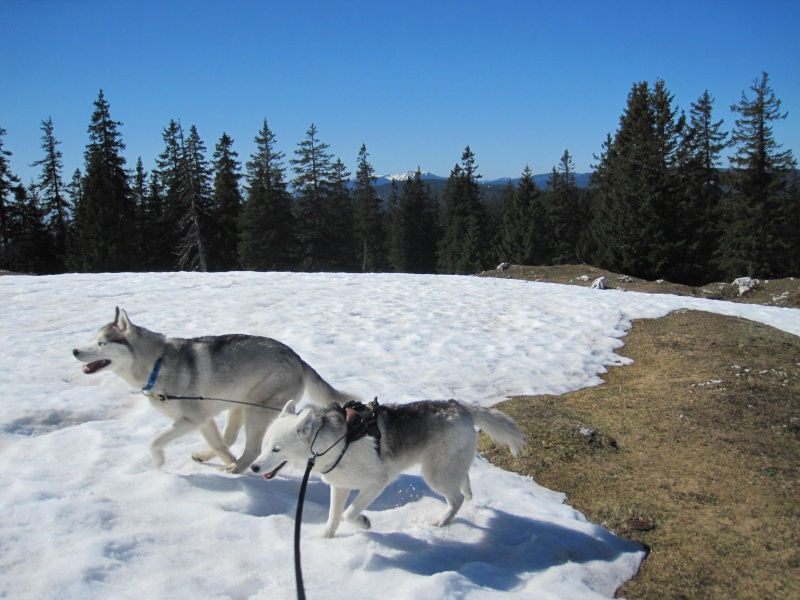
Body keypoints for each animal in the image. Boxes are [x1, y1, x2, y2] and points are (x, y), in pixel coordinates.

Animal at [73, 310, 358, 474]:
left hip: (255, 412)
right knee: (229, 438)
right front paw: (221, 457)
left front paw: (158, 462)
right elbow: (219, 443)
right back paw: (211, 458)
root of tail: (297, 357)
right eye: (93, 340)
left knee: (252, 449)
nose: (75, 350)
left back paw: (237, 468)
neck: (156, 364)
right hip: (237, 405)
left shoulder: (191, 419)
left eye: (101, 343)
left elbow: (155, 441)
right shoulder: (202, 419)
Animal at [250, 400, 524, 536]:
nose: (253, 467)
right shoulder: (340, 487)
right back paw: (466, 495)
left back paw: (443, 521)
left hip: (435, 475)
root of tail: (463, 408)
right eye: (264, 446)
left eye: (276, 450)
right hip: (449, 467)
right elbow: (333, 518)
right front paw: (326, 540)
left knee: (455, 499)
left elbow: (349, 514)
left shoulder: (376, 482)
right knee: (464, 481)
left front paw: (363, 523)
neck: (336, 443)